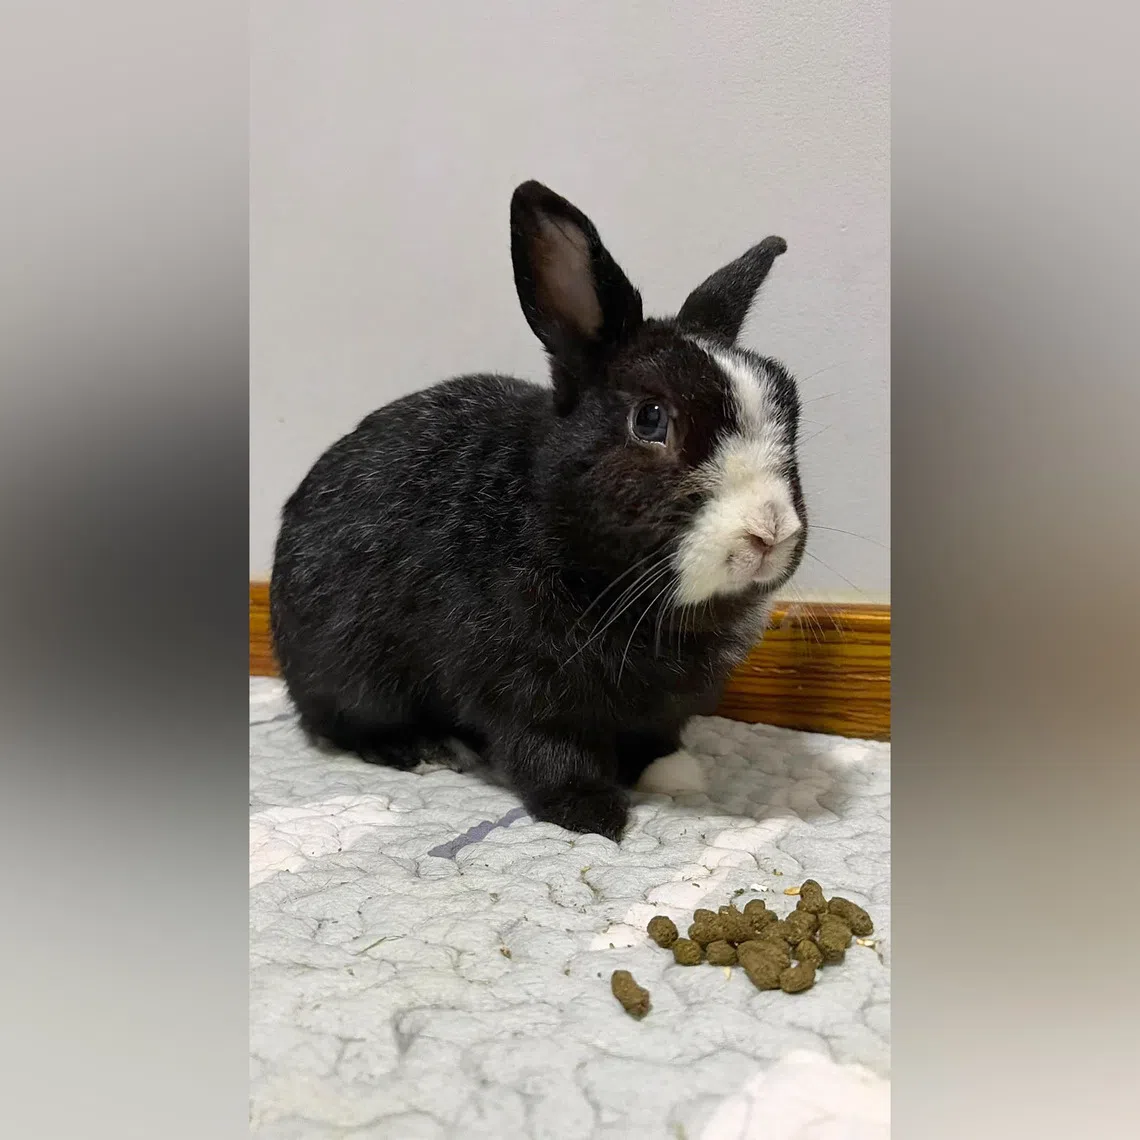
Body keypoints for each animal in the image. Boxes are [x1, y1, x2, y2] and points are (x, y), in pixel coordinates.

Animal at [270, 180, 807, 841]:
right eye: (651, 418)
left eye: (791, 407)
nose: (770, 532)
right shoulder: (520, 688)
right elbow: (547, 750)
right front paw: (592, 814)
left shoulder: (661, 704)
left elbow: (655, 734)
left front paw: (676, 775)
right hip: (346, 671)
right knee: (340, 725)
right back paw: (426, 750)